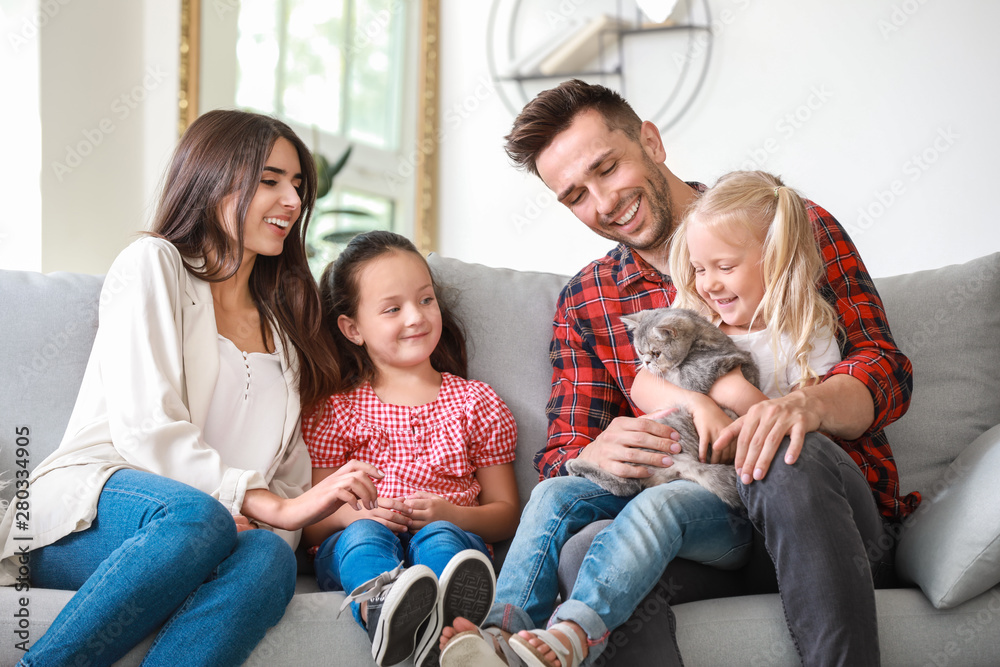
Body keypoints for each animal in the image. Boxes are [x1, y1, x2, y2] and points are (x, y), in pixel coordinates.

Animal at [568, 310, 760, 508]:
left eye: (656, 353)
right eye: (640, 351)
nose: (645, 362)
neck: (700, 340)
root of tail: (685, 463)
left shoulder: (697, 374)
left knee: (629, 485)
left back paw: (576, 465)